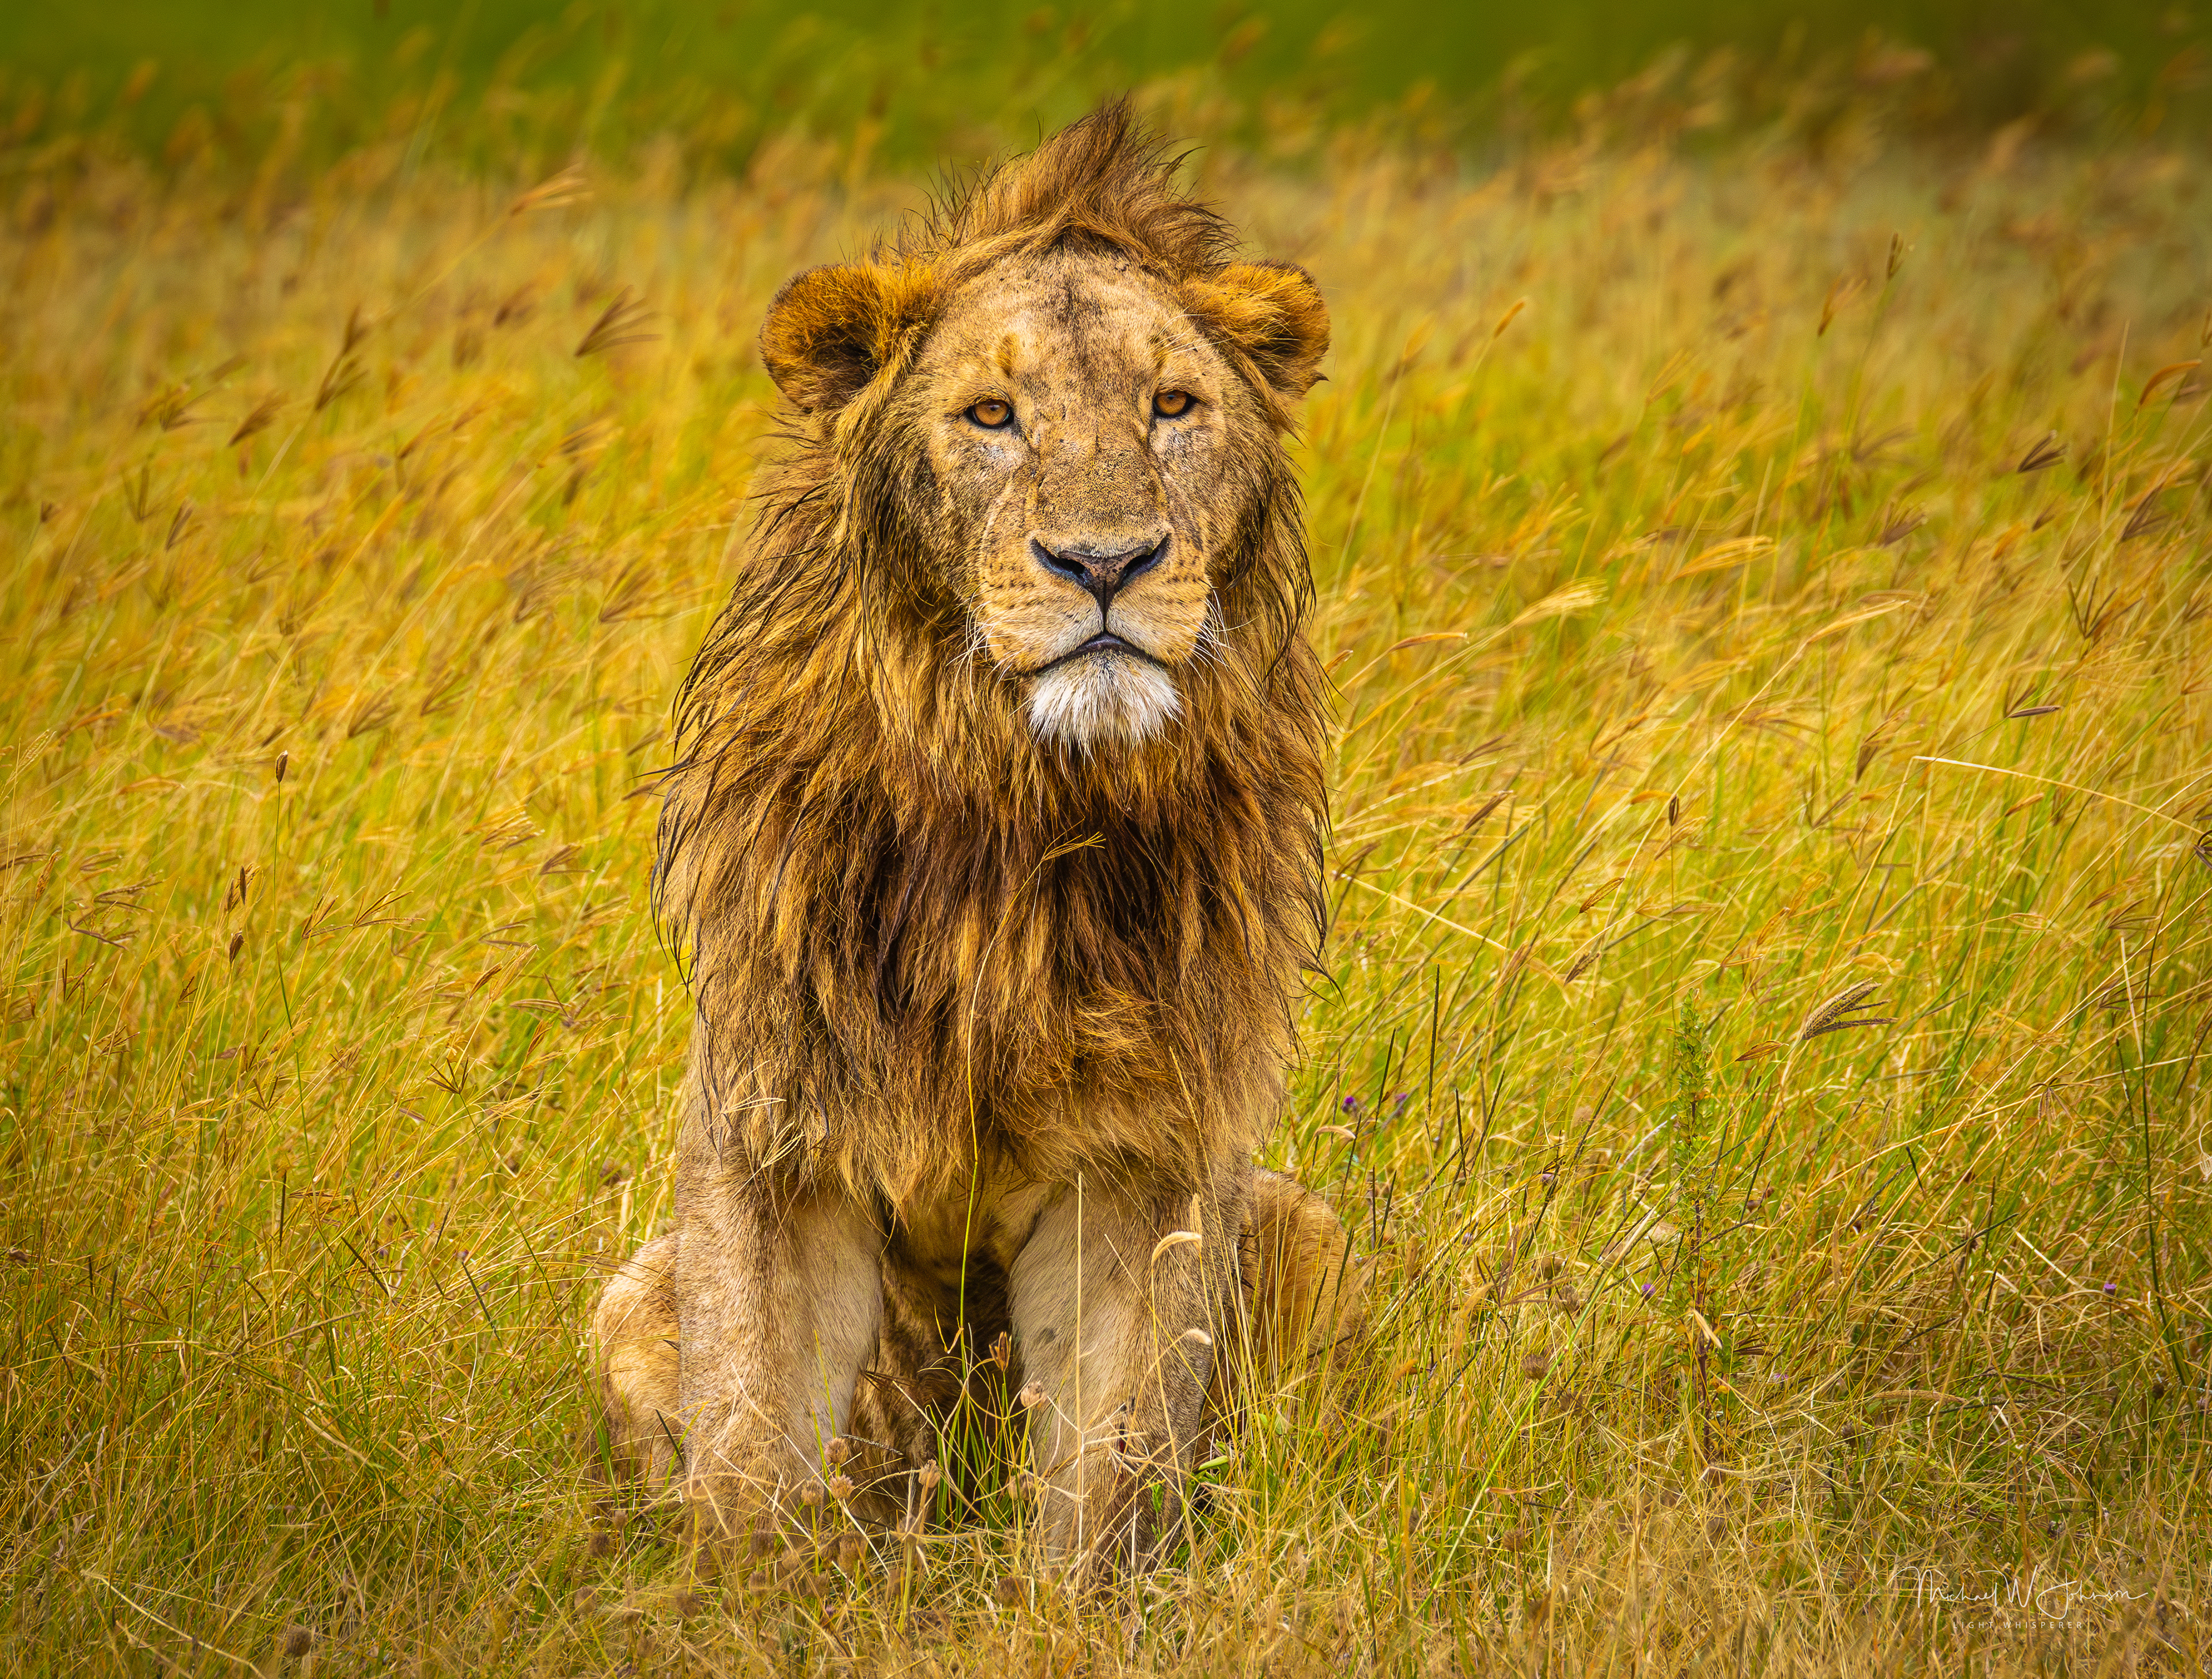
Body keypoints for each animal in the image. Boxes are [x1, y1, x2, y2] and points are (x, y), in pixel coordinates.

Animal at [588, 101, 1361, 1583]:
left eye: (1172, 406)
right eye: (991, 416)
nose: (1105, 563)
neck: (1016, 794)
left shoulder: (1146, 1160)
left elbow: (1108, 1465)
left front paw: (1078, 1610)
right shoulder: (772, 1128)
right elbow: (750, 1438)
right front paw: (739, 1601)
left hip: (1299, 1222)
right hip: (634, 1286)